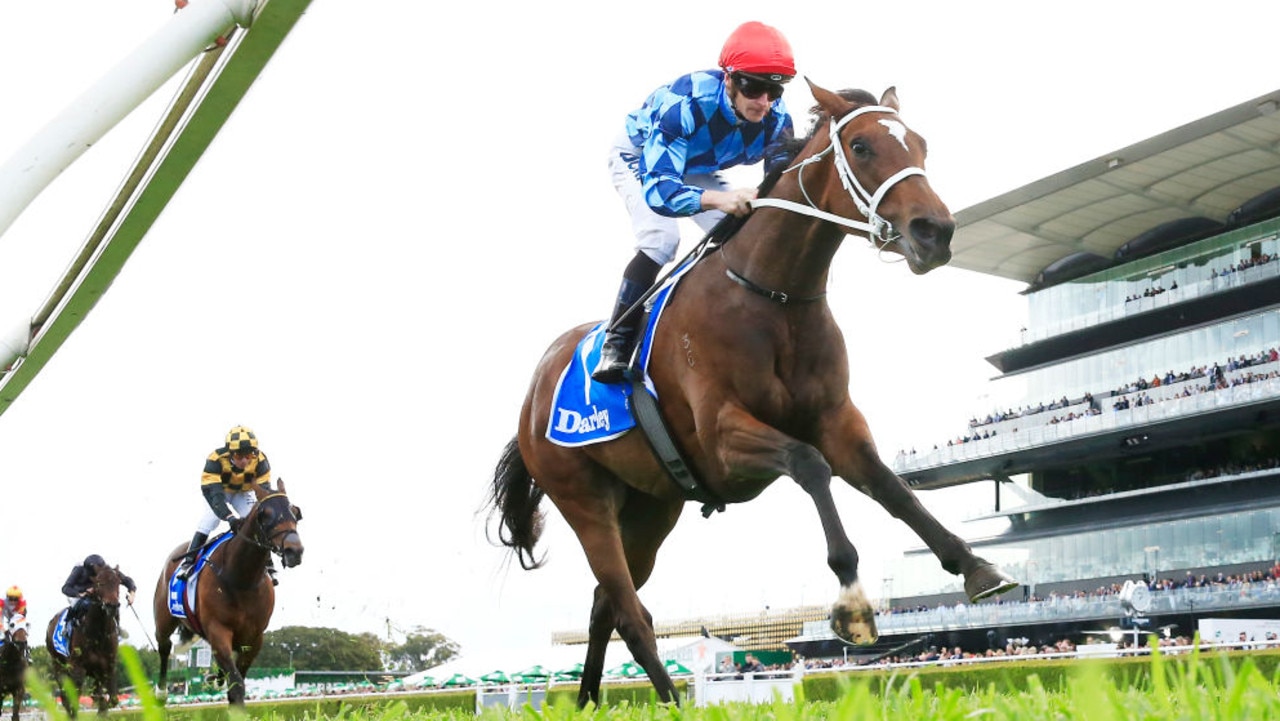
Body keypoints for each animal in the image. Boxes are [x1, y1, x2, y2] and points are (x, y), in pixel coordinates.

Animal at [44, 571, 122, 717]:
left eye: (118, 582)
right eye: (99, 583)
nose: (112, 606)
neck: (98, 634)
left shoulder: (107, 666)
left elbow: (111, 698)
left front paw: (102, 710)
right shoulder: (78, 668)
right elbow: (76, 697)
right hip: (58, 665)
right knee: (65, 696)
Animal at [152, 481, 302, 706]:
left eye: (294, 512)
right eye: (265, 514)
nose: (295, 551)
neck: (241, 578)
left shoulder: (254, 637)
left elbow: (237, 679)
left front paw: (219, 680)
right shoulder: (218, 630)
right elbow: (237, 684)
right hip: (164, 620)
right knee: (164, 646)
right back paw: (161, 692)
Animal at [488, 83, 1018, 706]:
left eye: (921, 144)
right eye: (861, 146)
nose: (935, 232)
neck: (773, 295)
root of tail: (531, 401)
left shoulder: (837, 420)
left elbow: (892, 487)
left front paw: (976, 567)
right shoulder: (723, 437)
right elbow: (809, 465)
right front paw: (853, 603)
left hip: (650, 509)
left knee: (605, 605)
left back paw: (592, 700)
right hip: (584, 501)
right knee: (629, 613)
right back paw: (673, 703)